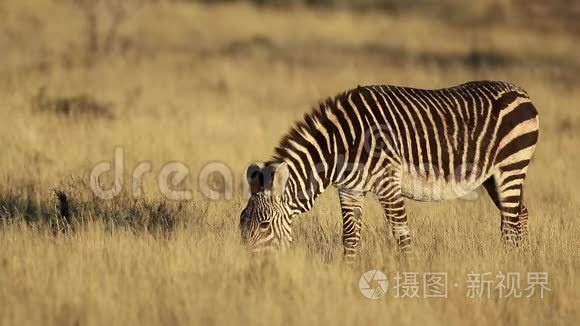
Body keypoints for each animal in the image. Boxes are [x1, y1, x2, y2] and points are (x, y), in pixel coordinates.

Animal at [240, 80, 540, 262]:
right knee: (519, 214)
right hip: (492, 176)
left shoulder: (387, 182)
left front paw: (410, 274)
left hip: (511, 166)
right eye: (242, 223)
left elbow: (401, 232)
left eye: (264, 225)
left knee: (511, 221)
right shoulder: (349, 189)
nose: (250, 268)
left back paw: (509, 265)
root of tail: (521, 92)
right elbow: (350, 236)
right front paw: (347, 273)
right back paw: (521, 261)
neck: (343, 145)